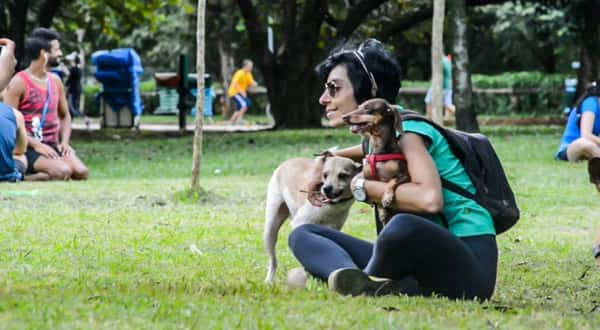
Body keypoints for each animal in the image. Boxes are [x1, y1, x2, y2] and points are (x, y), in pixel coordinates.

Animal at [264, 153, 360, 282]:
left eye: (343, 175)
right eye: (325, 175)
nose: (326, 188)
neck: (330, 206)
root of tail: (286, 162)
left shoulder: (332, 229)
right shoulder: (299, 224)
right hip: (270, 228)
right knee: (273, 261)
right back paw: (269, 280)